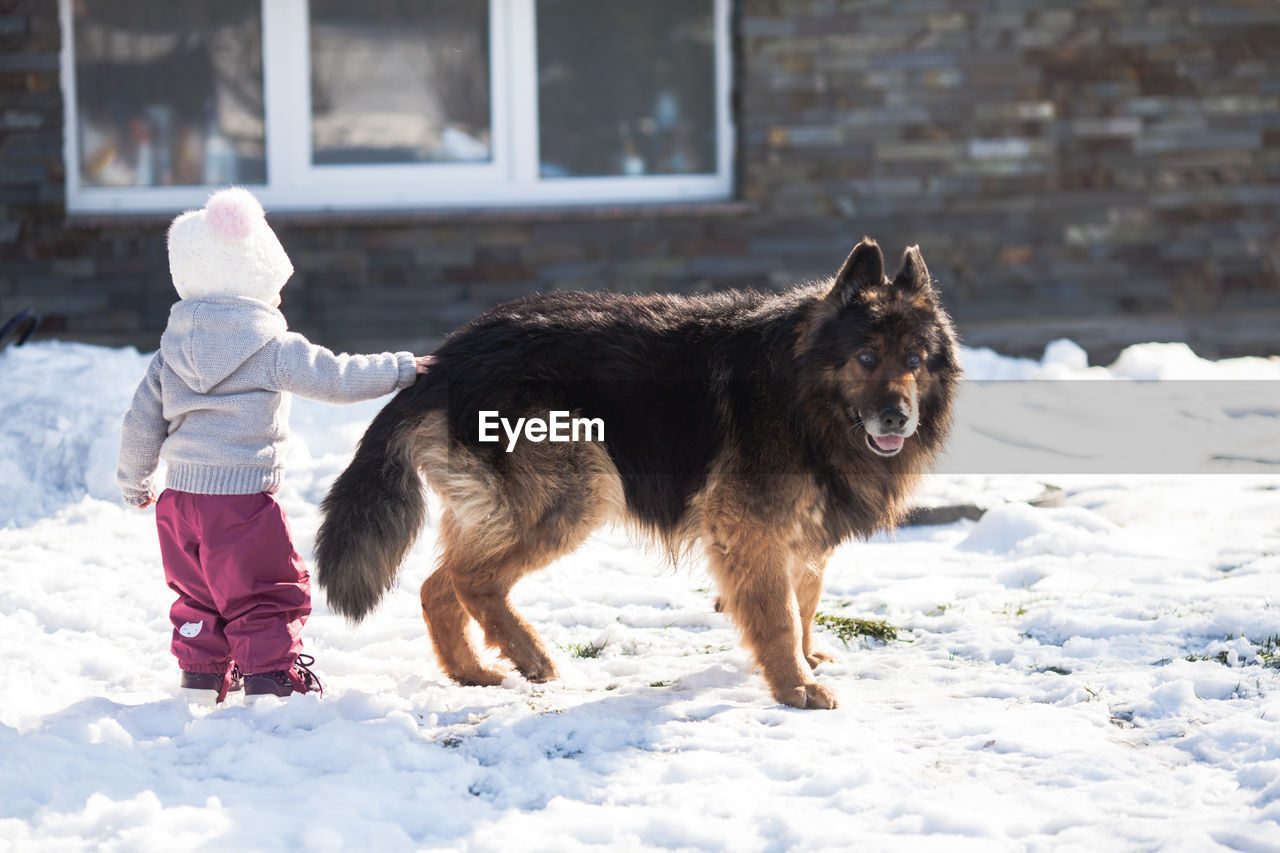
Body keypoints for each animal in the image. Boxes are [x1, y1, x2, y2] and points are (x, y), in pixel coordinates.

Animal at [317, 236, 962, 701]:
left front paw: (806, 659)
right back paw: (532, 656)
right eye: (865, 357)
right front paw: (795, 686)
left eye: (914, 359)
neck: (799, 394)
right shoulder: (750, 531)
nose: (897, 418)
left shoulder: (801, 533)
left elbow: (805, 601)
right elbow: (778, 614)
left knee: (438, 585)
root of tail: (446, 360)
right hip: (582, 488)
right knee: (473, 580)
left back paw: (472, 672)